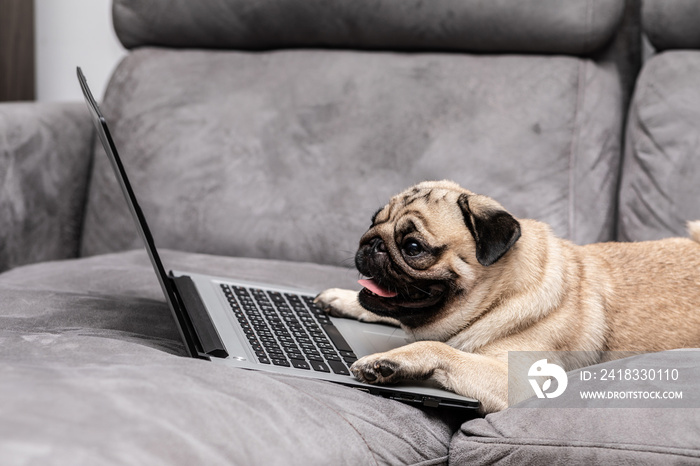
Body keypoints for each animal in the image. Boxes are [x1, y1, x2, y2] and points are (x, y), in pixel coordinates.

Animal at [314, 180, 700, 414]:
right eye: (372, 222)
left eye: (412, 247)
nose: (372, 243)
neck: (499, 295)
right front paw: (342, 298)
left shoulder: (515, 380)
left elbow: (438, 348)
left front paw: (387, 361)